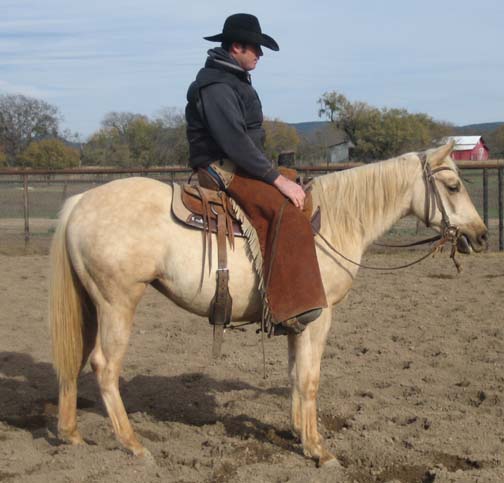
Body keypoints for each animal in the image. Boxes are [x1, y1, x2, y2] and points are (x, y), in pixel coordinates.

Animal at [49, 142, 486, 466]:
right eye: (452, 187)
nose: (481, 235)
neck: (337, 221)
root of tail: (81, 201)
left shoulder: (299, 319)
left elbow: (294, 375)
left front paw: (298, 433)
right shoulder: (319, 317)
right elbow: (309, 379)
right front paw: (319, 450)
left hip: (91, 304)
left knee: (75, 356)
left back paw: (71, 435)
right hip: (118, 302)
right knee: (104, 365)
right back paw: (134, 445)